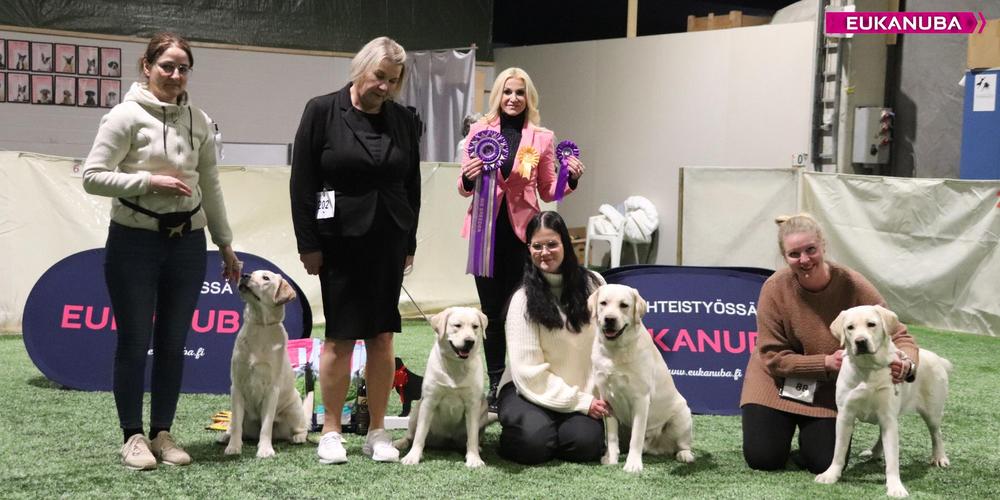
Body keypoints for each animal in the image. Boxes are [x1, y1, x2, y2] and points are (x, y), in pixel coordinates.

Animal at [218, 270, 309, 458]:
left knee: (302, 427)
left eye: (266, 278)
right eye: (252, 273)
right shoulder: (236, 387)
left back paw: (298, 438)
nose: (244, 275)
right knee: (235, 425)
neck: (260, 325)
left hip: (294, 408)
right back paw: (225, 436)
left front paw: (265, 449)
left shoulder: (272, 389)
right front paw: (233, 447)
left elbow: (266, 426)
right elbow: (236, 424)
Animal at [395, 307, 489, 468]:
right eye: (457, 325)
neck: (456, 365)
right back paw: (399, 443)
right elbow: (419, 435)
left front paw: (474, 458)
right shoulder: (429, 401)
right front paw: (413, 456)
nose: (469, 341)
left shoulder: (473, 405)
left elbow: (472, 436)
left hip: (484, 409)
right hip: (416, 412)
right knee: (410, 436)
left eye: (475, 326)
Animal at [590, 284, 695, 473]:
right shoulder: (607, 400)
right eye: (603, 303)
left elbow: (636, 436)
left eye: (624, 305)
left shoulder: (640, 399)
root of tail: (657, 447)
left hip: (682, 416)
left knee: (683, 444)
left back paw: (685, 455)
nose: (609, 319)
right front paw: (611, 459)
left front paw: (632, 464)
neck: (615, 351)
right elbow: (611, 437)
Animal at [815, 305, 952, 498]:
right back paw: (874, 452)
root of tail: (937, 357)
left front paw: (895, 487)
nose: (860, 342)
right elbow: (838, 451)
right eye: (850, 327)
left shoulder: (888, 416)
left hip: (931, 411)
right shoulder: (845, 415)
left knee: (936, 434)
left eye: (871, 324)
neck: (868, 367)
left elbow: (893, 459)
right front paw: (830, 475)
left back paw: (940, 458)